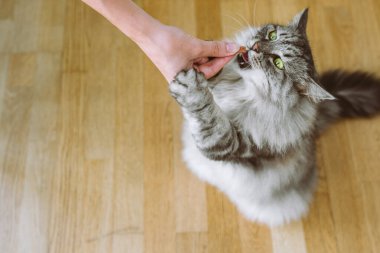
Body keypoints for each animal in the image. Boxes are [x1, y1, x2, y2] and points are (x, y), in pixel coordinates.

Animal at [168, 8, 380, 226]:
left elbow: (207, 113)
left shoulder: (230, 144)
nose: (255, 46)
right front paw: (209, 58)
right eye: (272, 36)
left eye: (278, 63)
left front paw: (190, 87)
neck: (239, 88)